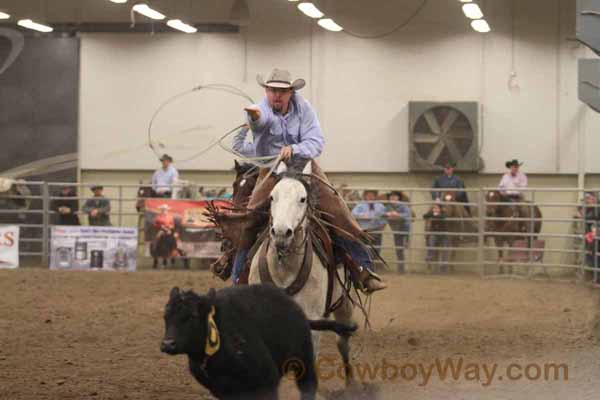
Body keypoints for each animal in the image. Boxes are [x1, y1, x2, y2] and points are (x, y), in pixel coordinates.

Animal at [248, 161, 356, 386]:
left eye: (302, 198)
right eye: (272, 197)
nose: (281, 233)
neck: (284, 269)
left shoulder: (311, 325)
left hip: (344, 305)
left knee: (343, 343)